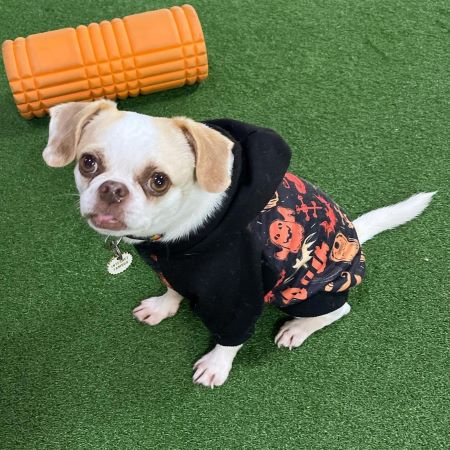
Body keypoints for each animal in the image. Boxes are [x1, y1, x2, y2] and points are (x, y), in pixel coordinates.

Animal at [42, 100, 436, 388]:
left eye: (159, 181)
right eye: (88, 162)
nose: (112, 189)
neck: (173, 239)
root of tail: (354, 231)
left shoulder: (238, 294)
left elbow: (231, 335)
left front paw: (217, 365)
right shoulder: (173, 270)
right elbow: (172, 290)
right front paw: (162, 307)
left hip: (306, 291)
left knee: (338, 310)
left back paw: (297, 328)